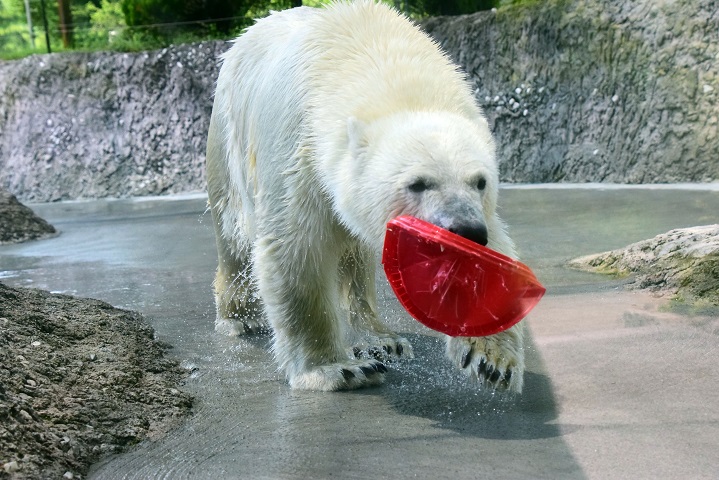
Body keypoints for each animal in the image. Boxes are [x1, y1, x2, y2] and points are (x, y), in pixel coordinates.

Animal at [205, 0, 524, 392]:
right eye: (417, 183)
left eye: (480, 182)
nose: (464, 231)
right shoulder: (298, 150)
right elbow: (296, 247)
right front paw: (337, 369)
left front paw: (491, 359)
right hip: (227, 142)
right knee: (233, 234)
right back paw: (239, 318)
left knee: (356, 259)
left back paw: (380, 339)